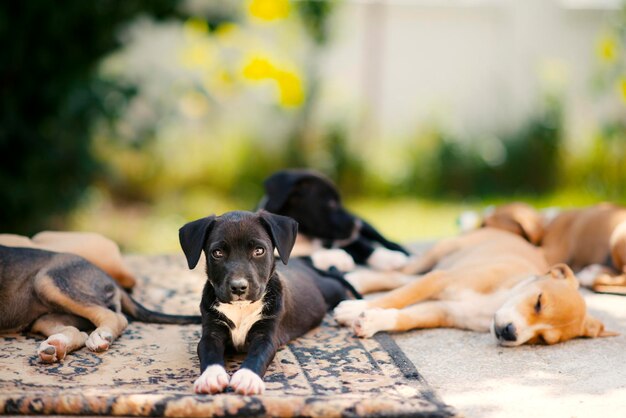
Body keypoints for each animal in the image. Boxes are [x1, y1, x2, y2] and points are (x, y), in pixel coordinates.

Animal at [178, 211, 348, 396]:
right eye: (217, 253)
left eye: (259, 251)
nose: (238, 287)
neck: (241, 308)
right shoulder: (211, 332)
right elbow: (208, 352)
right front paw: (211, 376)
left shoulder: (266, 335)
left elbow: (257, 355)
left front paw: (247, 377)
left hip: (332, 288)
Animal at [258, 169, 410, 272]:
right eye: (331, 204)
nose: (357, 225)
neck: (304, 237)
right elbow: (304, 257)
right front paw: (337, 257)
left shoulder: (343, 238)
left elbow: (363, 245)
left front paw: (388, 257)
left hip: (369, 228)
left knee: (385, 240)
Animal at [334, 227, 612, 344]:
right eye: (539, 302)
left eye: (543, 339)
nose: (510, 333)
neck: (493, 304)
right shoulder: (441, 280)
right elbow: (396, 298)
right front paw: (353, 309)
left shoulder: (442, 310)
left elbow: (405, 317)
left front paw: (371, 321)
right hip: (437, 257)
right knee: (400, 275)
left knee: (401, 280)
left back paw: (355, 281)